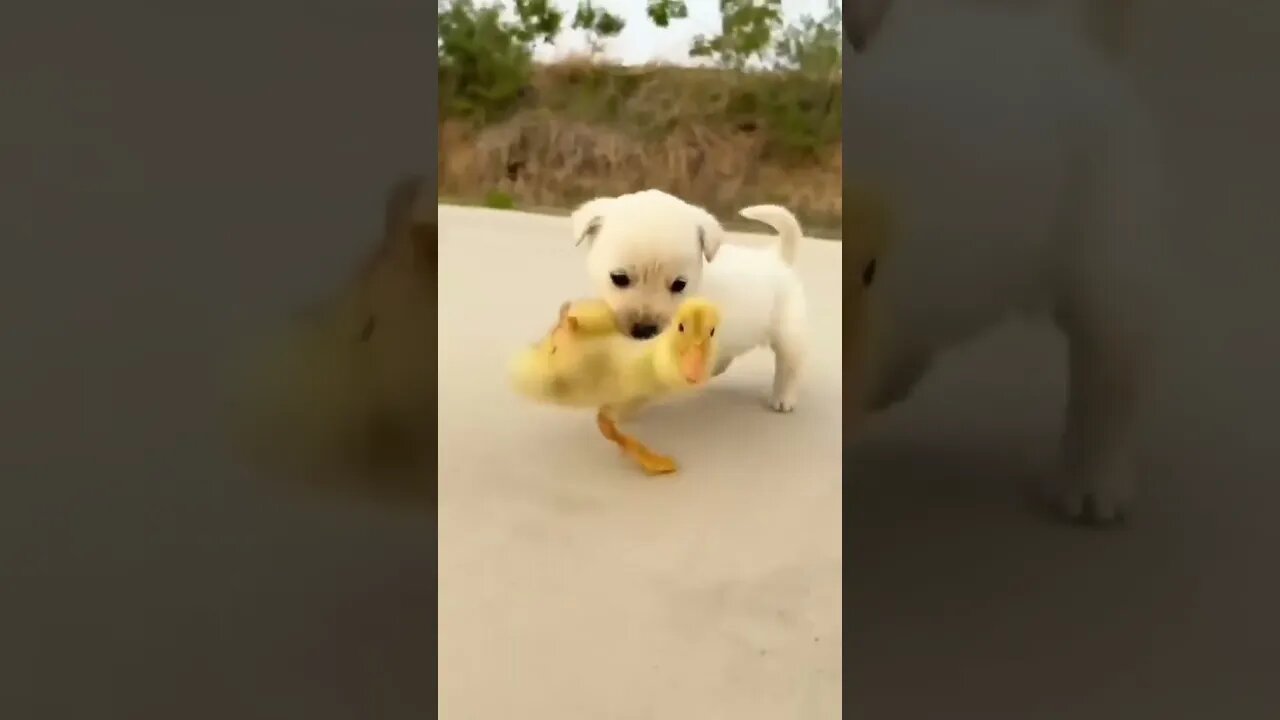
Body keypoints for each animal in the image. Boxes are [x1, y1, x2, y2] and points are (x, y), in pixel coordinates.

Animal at [573, 189, 808, 409]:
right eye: (619, 278)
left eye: (679, 284)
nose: (645, 331)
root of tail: (778, 257)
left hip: (789, 333)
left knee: (789, 365)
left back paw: (783, 397)